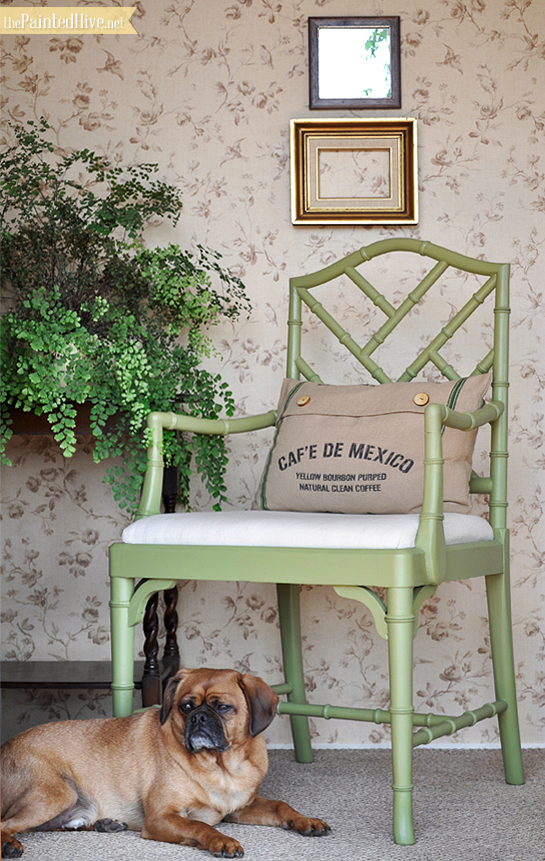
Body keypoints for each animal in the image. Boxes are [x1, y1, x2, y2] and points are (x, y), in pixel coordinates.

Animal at [0, 668, 330, 856]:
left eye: (223, 708)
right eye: (186, 706)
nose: (199, 717)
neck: (221, 766)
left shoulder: (242, 807)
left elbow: (281, 806)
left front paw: (306, 821)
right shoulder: (161, 817)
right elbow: (200, 827)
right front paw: (221, 841)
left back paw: (105, 824)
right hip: (58, 792)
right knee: (9, 825)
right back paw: (9, 845)